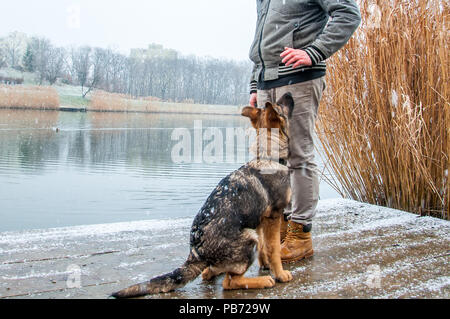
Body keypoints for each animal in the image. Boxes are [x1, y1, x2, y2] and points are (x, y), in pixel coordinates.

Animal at [111, 94, 296, 298]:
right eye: (281, 106)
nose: (288, 94)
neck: (267, 157)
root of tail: (196, 252)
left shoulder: (263, 220)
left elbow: (265, 247)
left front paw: (265, 265)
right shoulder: (274, 216)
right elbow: (274, 249)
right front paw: (280, 274)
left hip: (250, 233)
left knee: (210, 272)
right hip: (249, 238)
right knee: (230, 282)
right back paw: (262, 281)